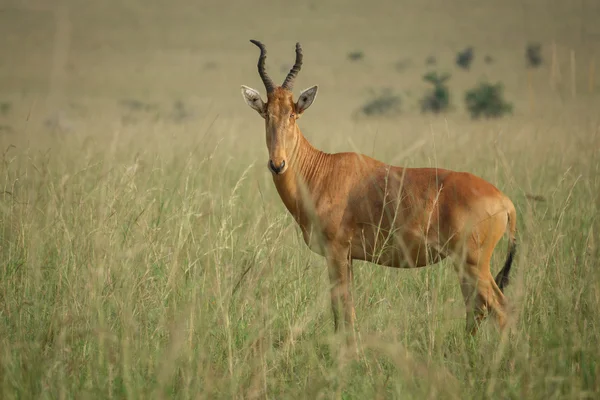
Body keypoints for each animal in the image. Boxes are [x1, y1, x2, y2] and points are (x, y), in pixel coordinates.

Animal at [239, 39, 516, 342]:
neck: (323, 170)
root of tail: (505, 202)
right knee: (477, 309)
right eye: (266, 114)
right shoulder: (348, 257)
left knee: (500, 308)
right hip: (463, 264)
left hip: (474, 263)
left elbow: (342, 308)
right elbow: (345, 308)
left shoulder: (337, 253)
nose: (278, 164)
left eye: (292, 114)